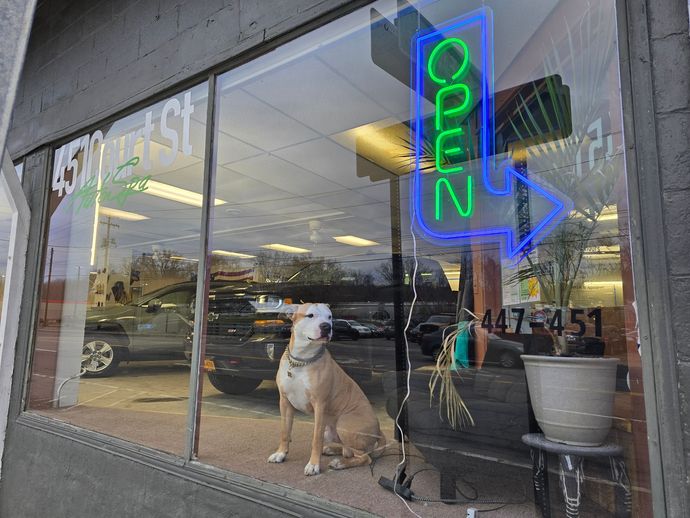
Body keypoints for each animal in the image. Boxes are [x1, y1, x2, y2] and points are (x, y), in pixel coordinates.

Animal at [268, 304, 384, 480]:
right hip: (331, 430)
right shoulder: (285, 402)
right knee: (348, 450)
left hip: (344, 423)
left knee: (364, 457)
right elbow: (284, 431)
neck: (301, 360)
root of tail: (379, 431)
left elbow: (316, 439)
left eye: (330, 317)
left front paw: (313, 465)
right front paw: (281, 454)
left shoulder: (319, 405)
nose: (327, 327)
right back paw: (331, 450)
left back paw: (340, 463)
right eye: (310, 315)